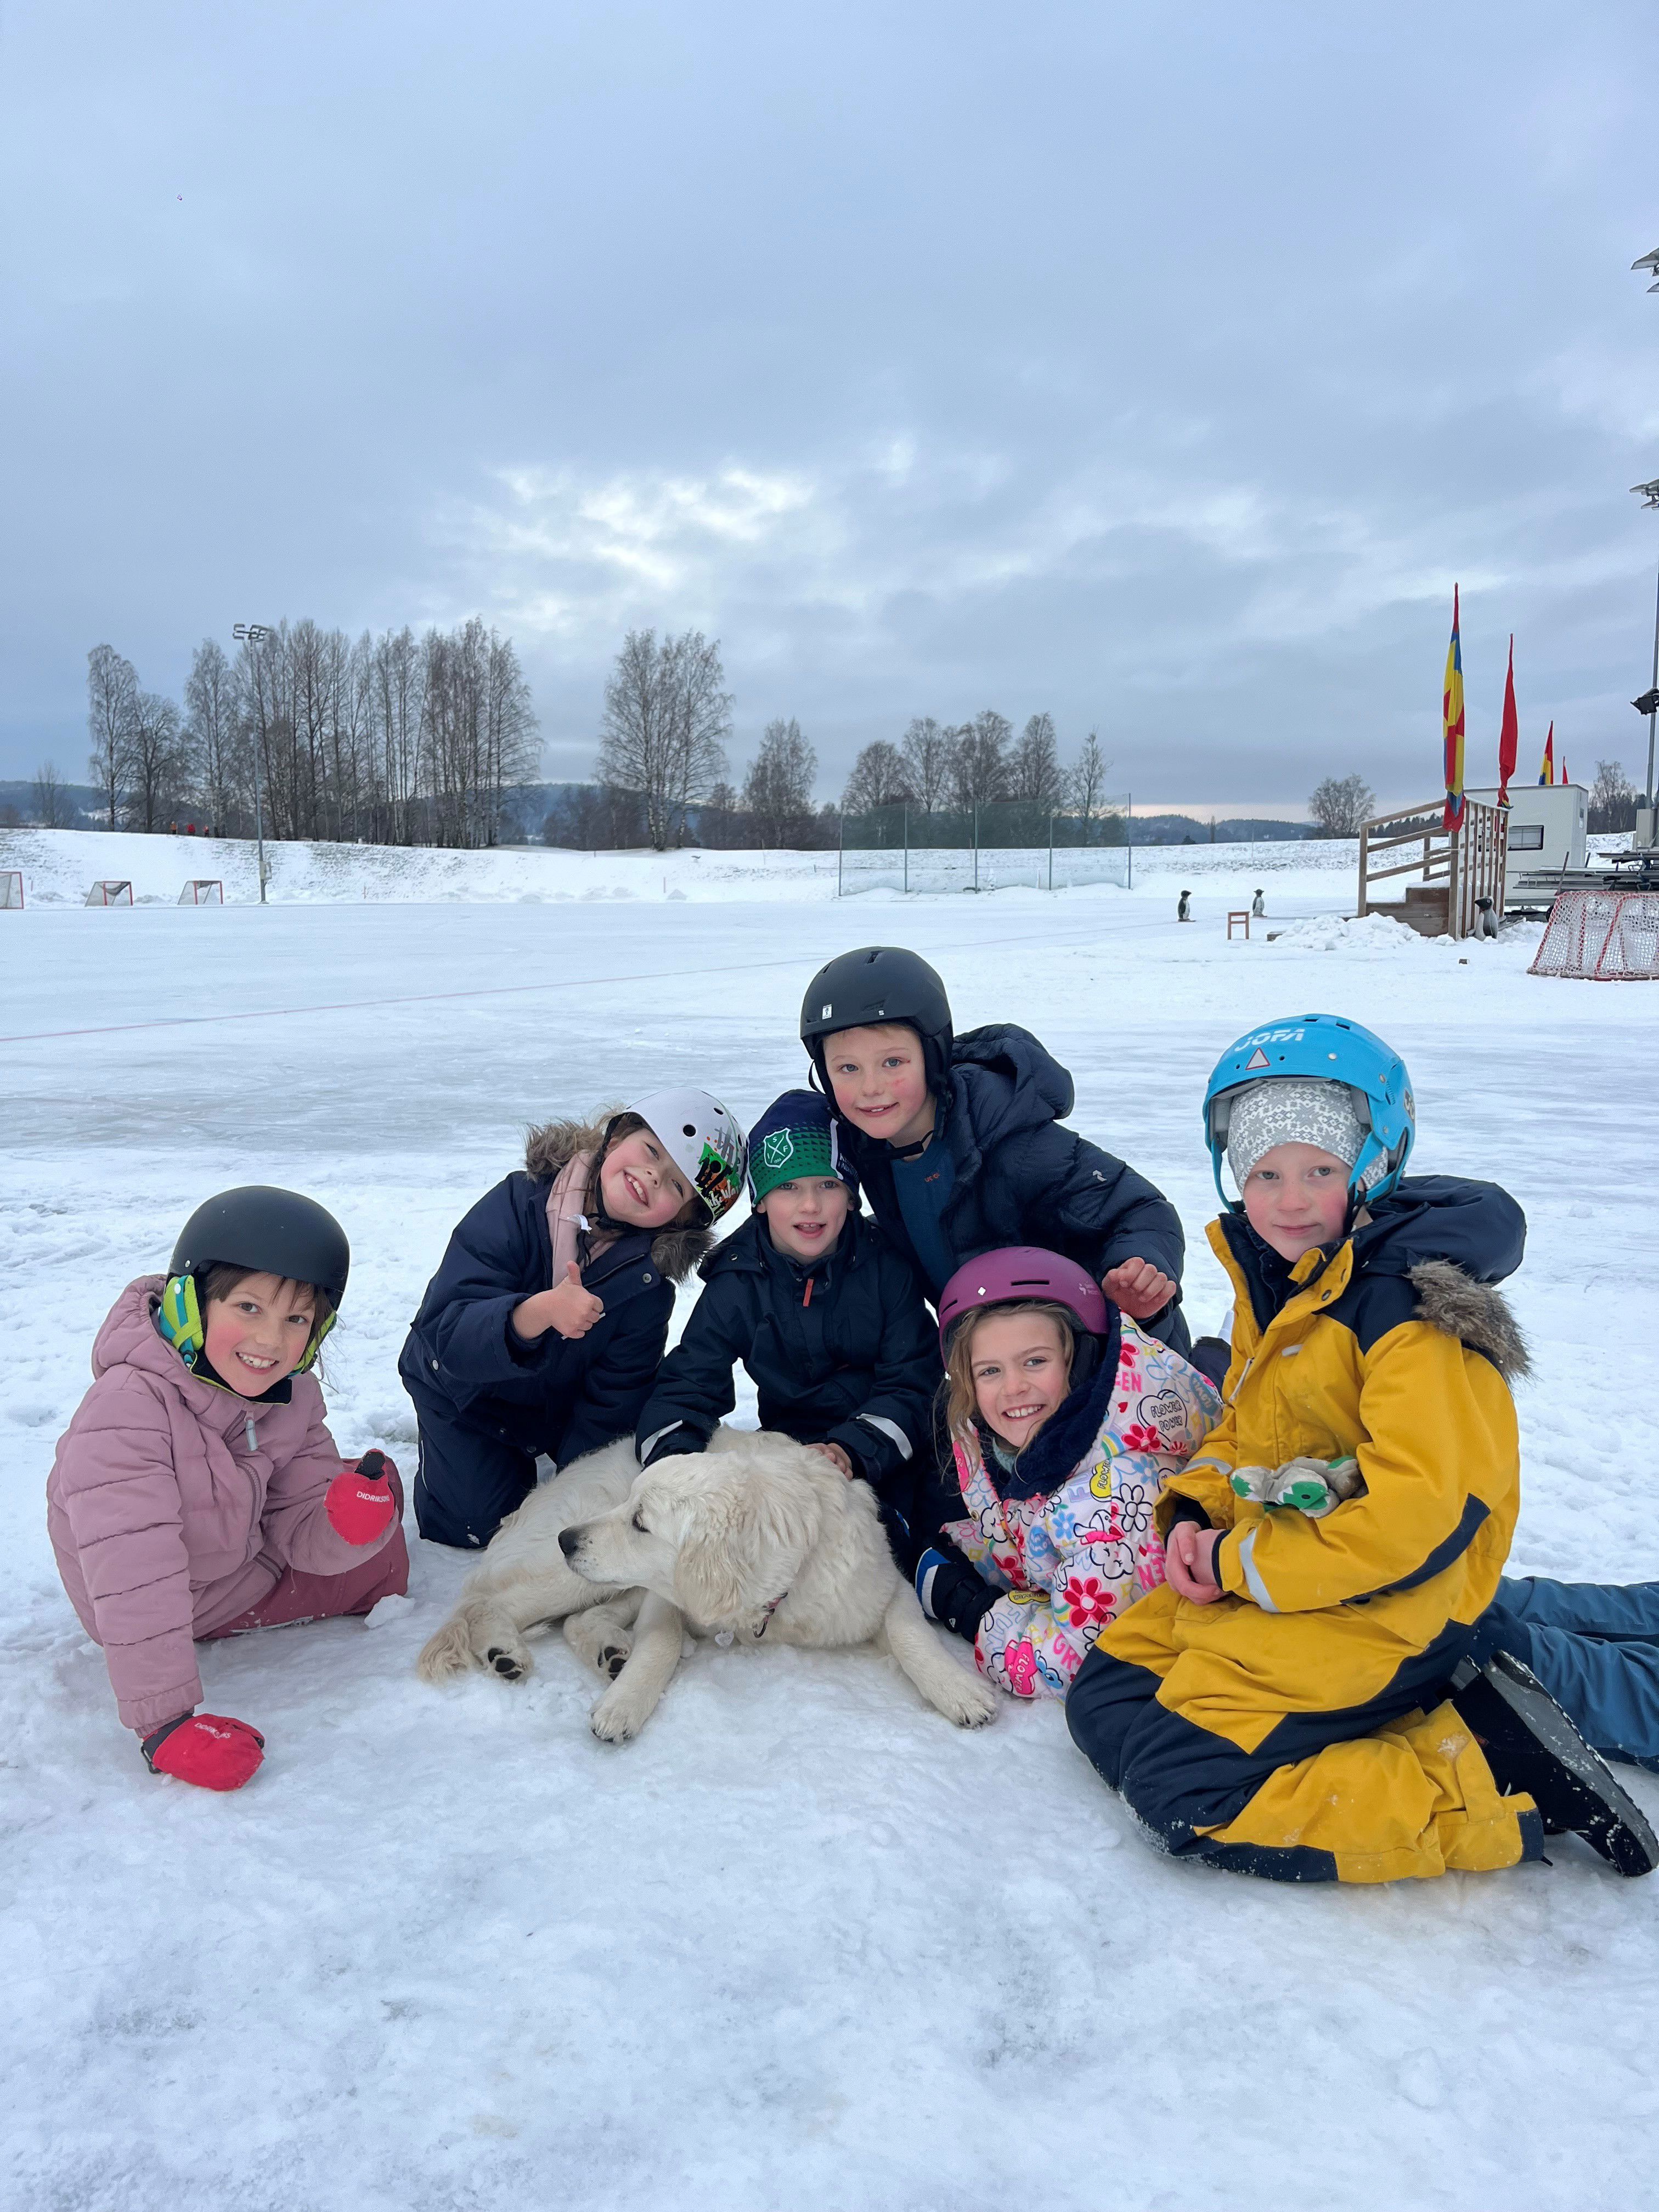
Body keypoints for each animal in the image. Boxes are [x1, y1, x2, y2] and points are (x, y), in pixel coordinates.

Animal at [416, 1433, 995, 1743]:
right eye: (628, 1505)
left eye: (640, 1522)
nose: (567, 1540)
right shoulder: (666, 1596)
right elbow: (663, 1642)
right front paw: (625, 1704)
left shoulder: (880, 1585)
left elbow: (912, 1635)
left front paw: (960, 1691)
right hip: (564, 1575)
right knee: (482, 1602)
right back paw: (503, 1650)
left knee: (578, 1620)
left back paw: (609, 1652)